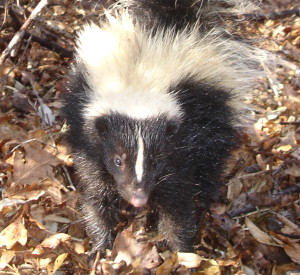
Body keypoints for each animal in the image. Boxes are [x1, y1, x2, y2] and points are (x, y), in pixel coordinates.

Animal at [61, 0, 264, 253]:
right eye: (118, 160)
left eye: (156, 161)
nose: (138, 198)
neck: (139, 84)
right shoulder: (86, 131)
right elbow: (97, 188)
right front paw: (100, 244)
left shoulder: (187, 134)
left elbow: (176, 196)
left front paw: (181, 250)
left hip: (216, 118)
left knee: (211, 165)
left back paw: (205, 201)